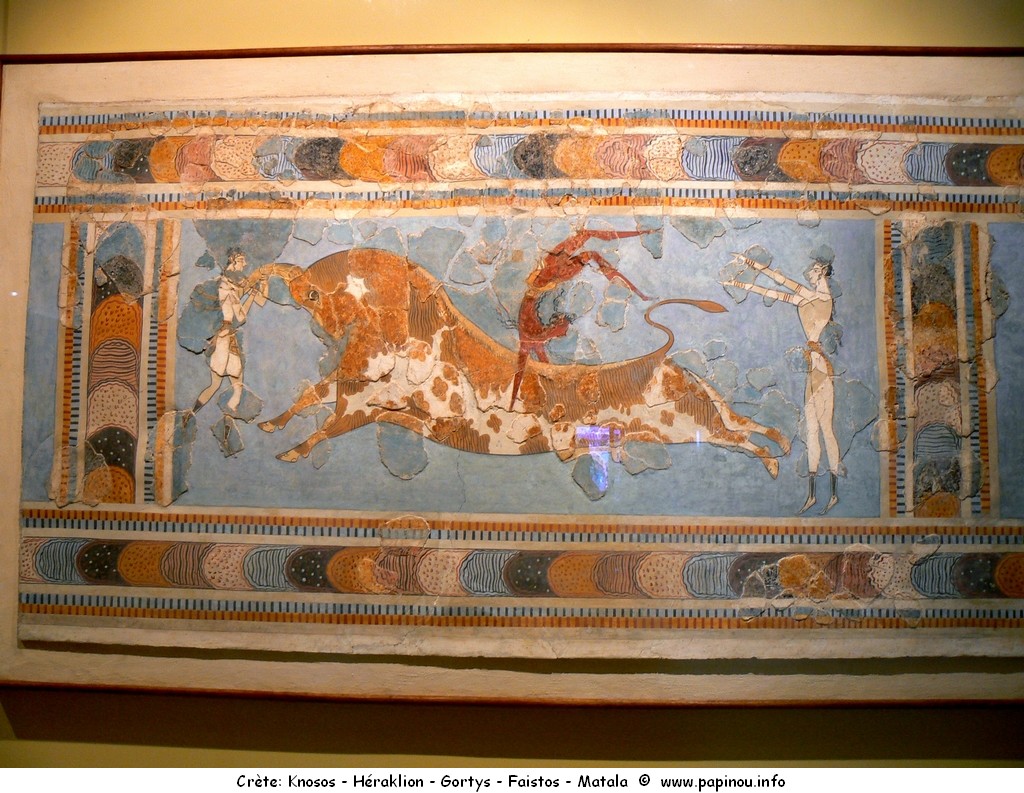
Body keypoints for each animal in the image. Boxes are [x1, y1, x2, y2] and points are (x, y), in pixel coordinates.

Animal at [245, 247, 790, 477]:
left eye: (314, 293)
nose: (324, 327)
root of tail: (671, 366)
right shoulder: (362, 399)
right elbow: (311, 402)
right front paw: (272, 428)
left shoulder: (376, 410)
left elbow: (327, 426)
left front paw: (289, 451)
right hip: (681, 426)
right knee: (740, 426)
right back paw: (780, 449)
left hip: (689, 423)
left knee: (736, 436)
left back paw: (773, 462)